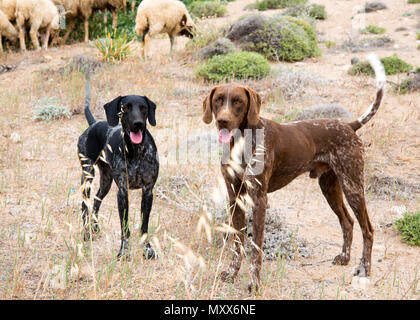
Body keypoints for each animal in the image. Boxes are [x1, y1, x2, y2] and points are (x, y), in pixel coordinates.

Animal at [77, 74, 159, 258]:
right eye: (126, 107)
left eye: (144, 108)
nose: (138, 124)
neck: (136, 151)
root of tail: (93, 124)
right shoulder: (122, 192)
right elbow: (124, 226)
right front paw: (124, 250)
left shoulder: (148, 191)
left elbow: (144, 225)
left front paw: (147, 248)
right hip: (87, 175)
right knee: (85, 205)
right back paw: (86, 233)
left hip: (106, 181)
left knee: (96, 201)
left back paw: (95, 227)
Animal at [202, 54, 386, 290]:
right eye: (218, 100)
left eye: (237, 101)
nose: (222, 121)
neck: (241, 142)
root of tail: (348, 125)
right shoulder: (235, 198)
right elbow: (237, 244)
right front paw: (232, 273)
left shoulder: (259, 200)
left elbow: (255, 248)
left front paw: (254, 283)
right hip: (330, 187)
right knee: (347, 222)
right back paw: (344, 258)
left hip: (352, 186)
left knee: (368, 229)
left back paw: (364, 269)